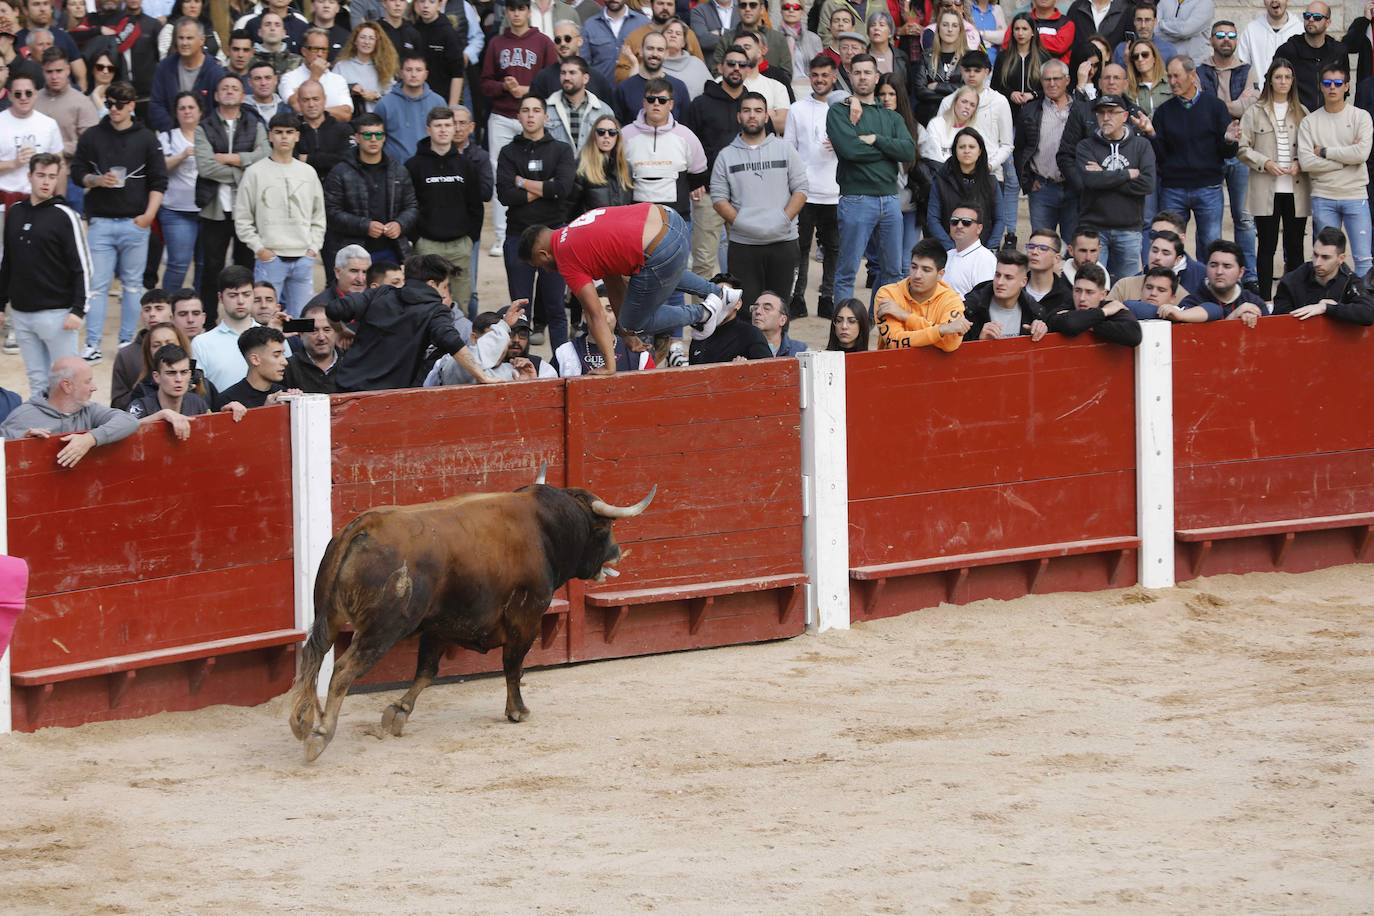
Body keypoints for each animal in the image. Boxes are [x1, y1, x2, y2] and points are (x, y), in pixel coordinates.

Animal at [285, 469, 654, 763]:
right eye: (604, 527)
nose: (617, 553)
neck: (545, 527)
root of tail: (363, 526)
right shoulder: (527, 618)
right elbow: (513, 666)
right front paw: (517, 711)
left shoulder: (438, 627)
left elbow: (426, 672)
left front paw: (398, 713)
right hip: (382, 629)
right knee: (342, 671)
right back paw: (320, 735)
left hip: (328, 617)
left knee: (312, 657)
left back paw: (302, 723)